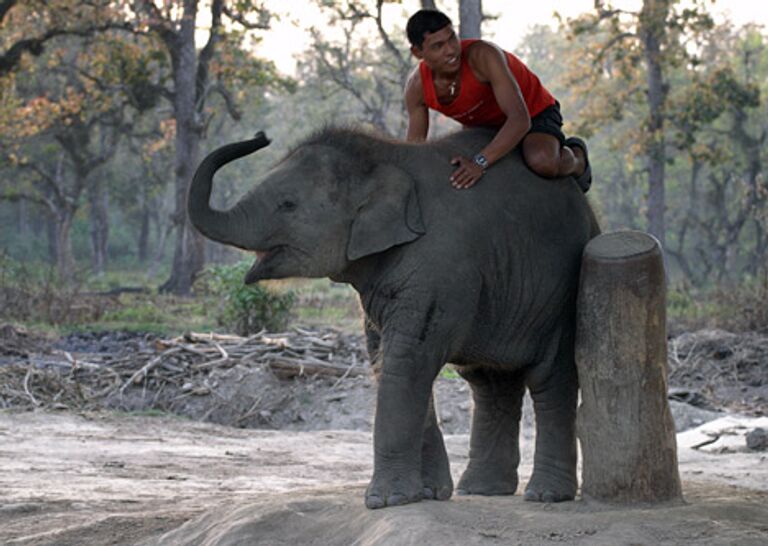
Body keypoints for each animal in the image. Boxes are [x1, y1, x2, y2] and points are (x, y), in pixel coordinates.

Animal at [188, 126, 600, 506]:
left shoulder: (439, 267)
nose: (261, 136)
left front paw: (385, 501)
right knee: (489, 383)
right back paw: (481, 490)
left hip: (562, 293)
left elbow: (408, 359)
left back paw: (545, 495)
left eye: (288, 204)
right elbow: (385, 360)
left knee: (550, 381)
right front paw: (429, 494)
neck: (384, 157)